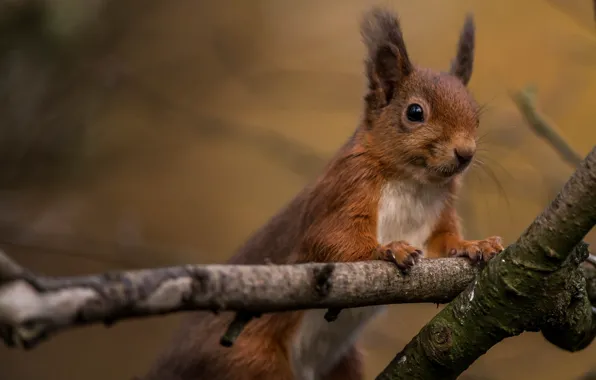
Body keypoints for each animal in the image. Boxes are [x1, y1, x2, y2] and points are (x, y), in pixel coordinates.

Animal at [143, 6, 502, 380]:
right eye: (415, 112)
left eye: (475, 115)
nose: (465, 153)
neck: (415, 183)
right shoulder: (345, 191)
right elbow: (329, 240)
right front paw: (387, 249)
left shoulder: (439, 214)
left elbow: (444, 242)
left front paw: (474, 245)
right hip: (246, 360)